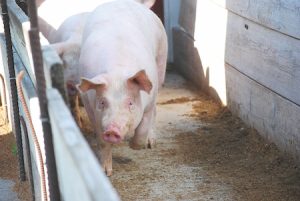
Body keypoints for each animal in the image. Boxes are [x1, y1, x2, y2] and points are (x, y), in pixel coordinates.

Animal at [37, 0, 168, 176]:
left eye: (130, 103)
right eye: (102, 102)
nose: (112, 130)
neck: (117, 71)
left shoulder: (149, 101)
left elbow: (144, 125)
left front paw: (135, 146)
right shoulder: (91, 107)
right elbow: (101, 140)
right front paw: (106, 172)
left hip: (161, 61)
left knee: (155, 111)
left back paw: (150, 143)